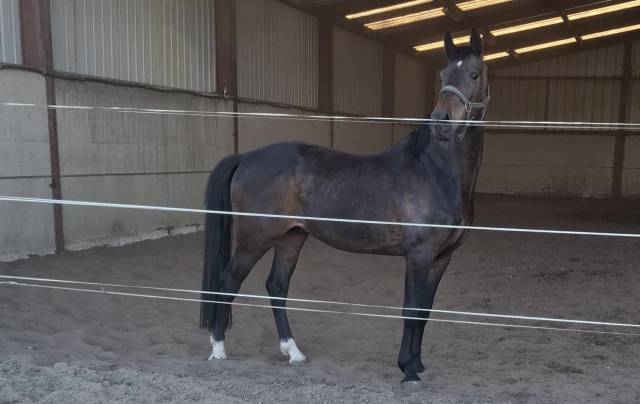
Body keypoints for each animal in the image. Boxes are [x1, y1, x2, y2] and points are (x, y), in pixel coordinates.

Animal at [199, 29, 490, 387]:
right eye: (443, 75)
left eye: (474, 74)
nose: (441, 121)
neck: (434, 170)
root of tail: (246, 157)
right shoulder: (419, 254)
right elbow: (410, 310)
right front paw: (407, 370)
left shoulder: (441, 258)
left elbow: (424, 312)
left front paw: (419, 365)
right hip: (255, 238)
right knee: (227, 282)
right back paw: (218, 350)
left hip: (292, 237)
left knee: (276, 286)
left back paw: (293, 352)